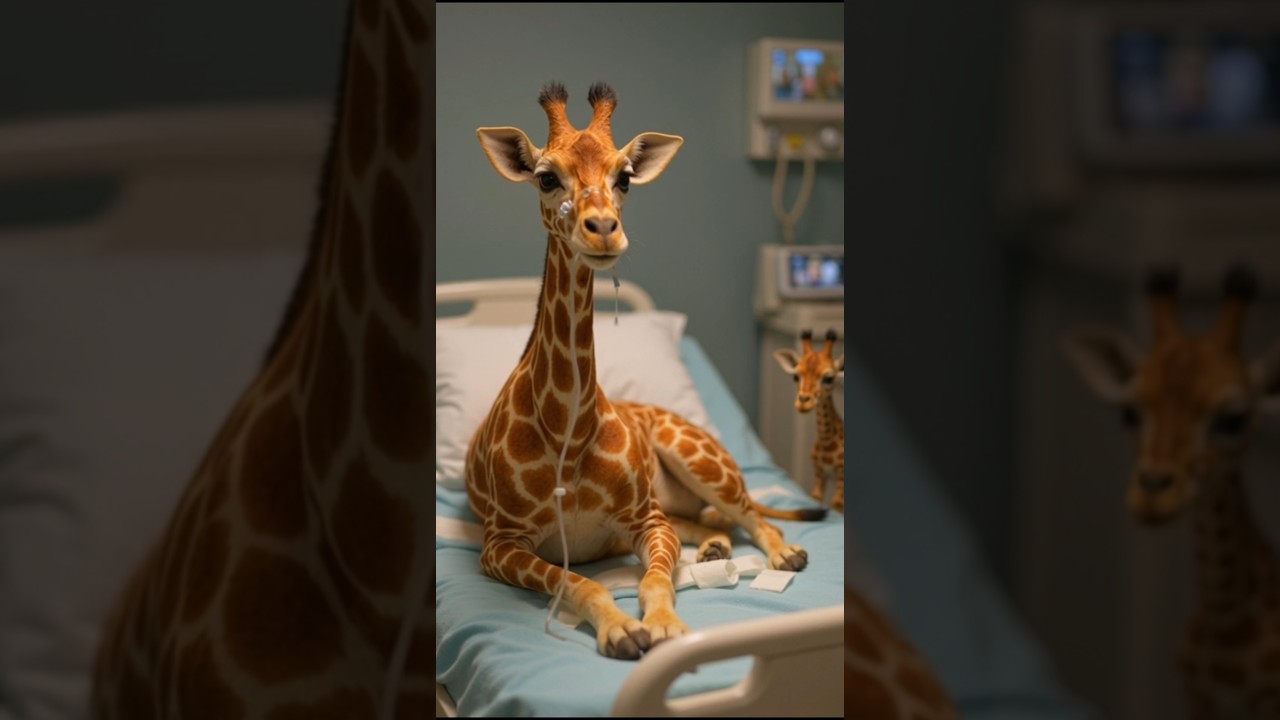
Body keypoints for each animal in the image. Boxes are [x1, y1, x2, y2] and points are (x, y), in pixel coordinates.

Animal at [467, 81, 826, 661]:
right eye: (546, 177)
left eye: (625, 177)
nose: (603, 231)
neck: (568, 429)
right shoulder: (500, 543)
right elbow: (580, 581)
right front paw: (622, 631)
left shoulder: (646, 519)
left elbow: (654, 581)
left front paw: (664, 629)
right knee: (712, 521)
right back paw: (714, 552)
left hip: (701, 462)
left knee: (749, 512)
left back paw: (784, 554)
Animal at [773, 327, 845, 513]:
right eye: (795, 376)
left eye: (829, 378)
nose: (803, 402)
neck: (826, 442)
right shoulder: (819, 471)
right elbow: (816, 497)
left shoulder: (840, 473)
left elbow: (837, 505)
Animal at [1062, 265, 1280, 719]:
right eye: (1128, 413)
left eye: (1234, 419)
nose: (1152, 493)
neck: (1224, 620)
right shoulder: (1197, 696)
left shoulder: (1268, 700)